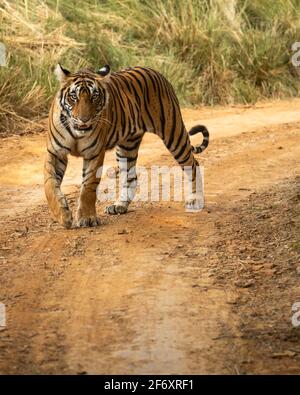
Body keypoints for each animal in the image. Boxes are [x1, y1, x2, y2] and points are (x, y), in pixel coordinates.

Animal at [44, 65, 209, 229]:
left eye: (94, 97)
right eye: (73, 96)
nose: (84, 120)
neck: (77, 132)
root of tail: (155, 71)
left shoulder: (94, 154)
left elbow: (88, 187)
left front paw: (87, 218)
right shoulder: (55, 152)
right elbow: (49, 184)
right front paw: (63, 216)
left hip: (173, 133)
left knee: (193, 164)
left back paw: (196, 200)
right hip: (127, 146)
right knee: (131, 176)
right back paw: (120, 205)